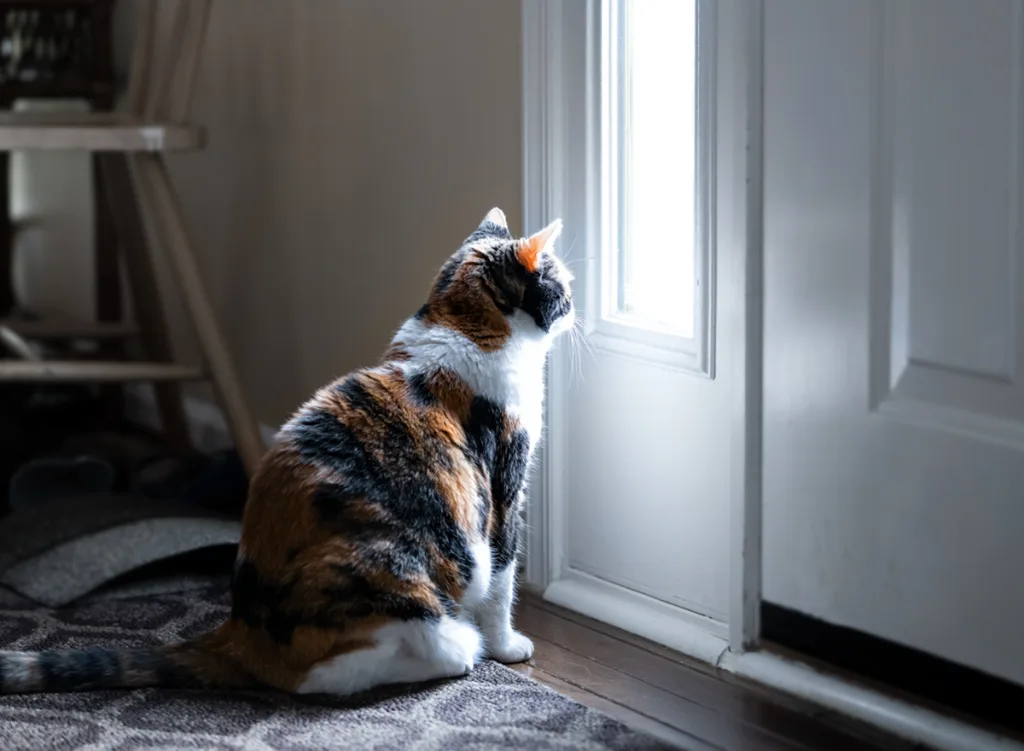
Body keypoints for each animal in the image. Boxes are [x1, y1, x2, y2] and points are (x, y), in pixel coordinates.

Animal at [0, 206, 573, 696]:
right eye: (562, 284)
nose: (575, 305)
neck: (463, 324)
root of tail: (239, 633)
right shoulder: (503, 488)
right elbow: (502, 580)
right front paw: (506, 646)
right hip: (397, 576)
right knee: (331, 674)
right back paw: (459, 651)